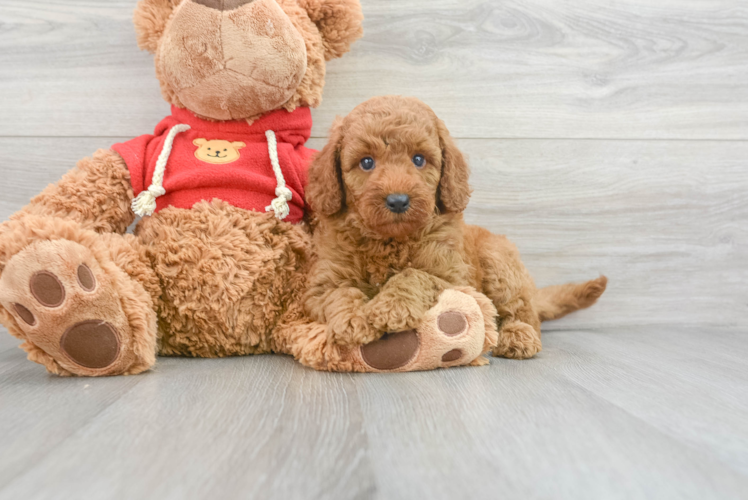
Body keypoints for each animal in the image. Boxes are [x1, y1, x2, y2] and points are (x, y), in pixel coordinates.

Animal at [300, 95, 604, 358]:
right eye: (366, 162)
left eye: (419, 159)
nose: (397, 201)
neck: (389, 240)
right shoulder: (319, 286)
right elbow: (338, 293)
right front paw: (352, 320)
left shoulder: (454, 278)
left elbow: (415, 274)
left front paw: (391, 307)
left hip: (499, 262)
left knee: (523, 311)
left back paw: (517, 335)